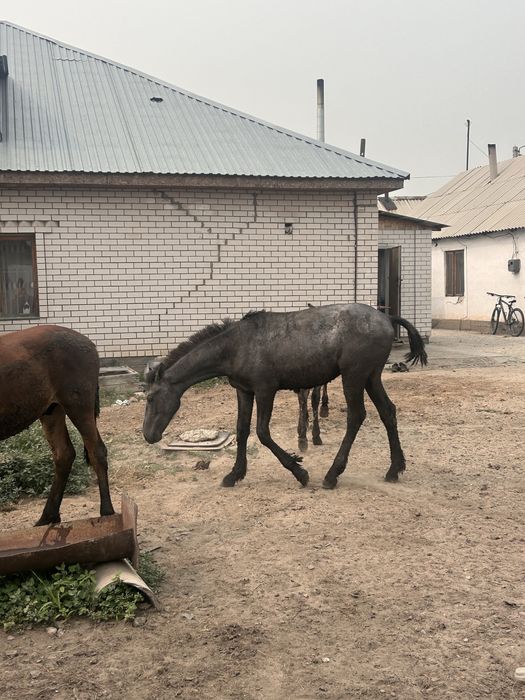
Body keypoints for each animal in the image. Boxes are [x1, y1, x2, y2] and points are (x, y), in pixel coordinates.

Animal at [0, 325, 115, 525]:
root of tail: (89, 344)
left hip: (78, 405)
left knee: (96, 451)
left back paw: (107, 513)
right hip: (52, 411)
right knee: (64, 454)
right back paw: (48, 517)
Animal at [143, 303, 427, 489]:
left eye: (150, 398)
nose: (148, 435)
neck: (237, 346)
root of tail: (387, 318)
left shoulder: (265, 390)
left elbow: (262, 432)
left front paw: (299, 470)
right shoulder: (244, 391)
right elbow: (242, 430)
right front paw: (234, 475)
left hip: (353, 376)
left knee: (356, 416)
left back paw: (332, 474)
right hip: (371, 377)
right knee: (388, 411)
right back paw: (394, 469)